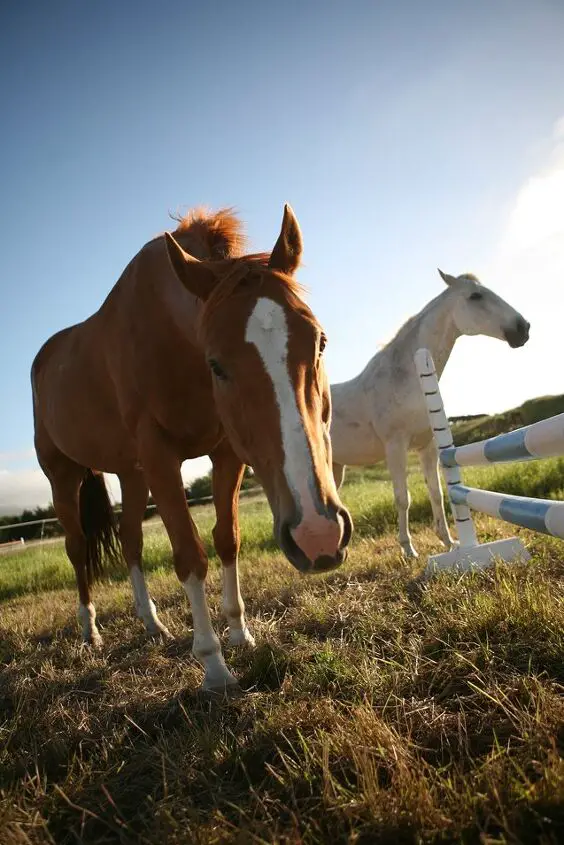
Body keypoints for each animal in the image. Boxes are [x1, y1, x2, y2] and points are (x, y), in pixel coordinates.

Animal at [32, 208, 352, 688]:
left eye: (320, 341)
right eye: (215, 364)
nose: (317, 535)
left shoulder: (227, 454)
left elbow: (227, 539)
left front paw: (240, 633)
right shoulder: (160, 458)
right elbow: (189, 554)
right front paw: (213, 664)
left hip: (131, 474)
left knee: (130, 540)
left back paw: (152, 623)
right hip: (64, 475)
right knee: (76, 546)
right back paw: (90, 630)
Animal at [330, 270, 528, 556]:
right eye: (475, 295)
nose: (523, 328)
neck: (404, 380)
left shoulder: (428, 446)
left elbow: (436, 492)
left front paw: (449, 542)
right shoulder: (395, 446)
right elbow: (403, 498)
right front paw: (408, 549)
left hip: (335, 469)